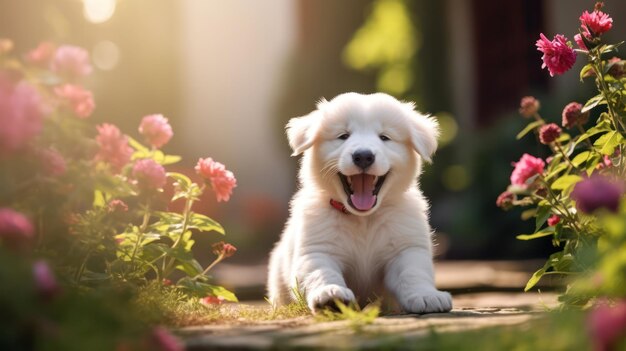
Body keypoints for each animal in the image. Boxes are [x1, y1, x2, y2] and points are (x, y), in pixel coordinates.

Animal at [266, 93, 450, 314]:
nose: (363, 156)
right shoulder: (317, 249)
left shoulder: (406, 248)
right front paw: (330, 294)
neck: (363, 219)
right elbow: (321, 272)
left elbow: (412, 273)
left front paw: (426, 295)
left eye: (384, 137)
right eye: (343, 136)